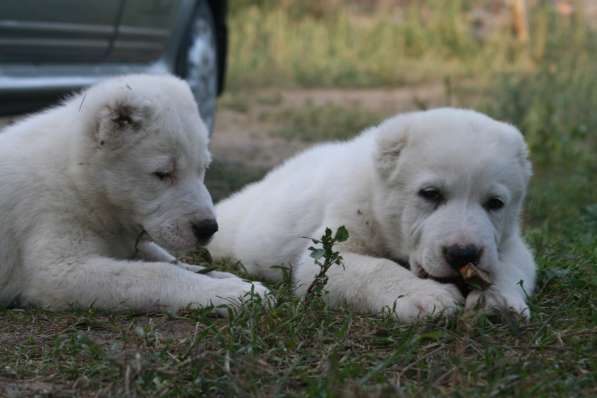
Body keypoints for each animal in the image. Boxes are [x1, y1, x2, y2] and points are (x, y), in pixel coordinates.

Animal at [0, 73, 268, 312]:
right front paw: (231, 293)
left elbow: (172, 261)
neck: (76, 178)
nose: (208, 228)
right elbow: (160, 273)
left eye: (203, 169)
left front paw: (229, 279)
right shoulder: (58, 268)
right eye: (162, 173)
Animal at [210, 108, 536, 320]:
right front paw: (427, 296)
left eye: (495, 203)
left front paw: (499, 300)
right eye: (430, 193)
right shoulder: (341, 227)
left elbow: (514, 262)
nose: (463, 254)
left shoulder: (508, 241)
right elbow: (367, 268)